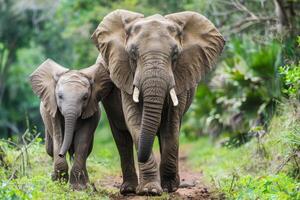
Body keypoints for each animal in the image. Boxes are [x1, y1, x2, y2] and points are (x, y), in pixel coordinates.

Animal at [29, 58, 111, 189]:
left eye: (85, 97)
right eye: (59, 96)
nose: (60, 154)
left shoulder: (90, 113)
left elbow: (82, 141)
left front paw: (78, 188)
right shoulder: (53, 110)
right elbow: (58, 136)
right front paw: (59, 184)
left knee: (86, 151)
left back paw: (88, 185)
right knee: (50, 149)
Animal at [92, 9, 224, 195]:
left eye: (175, 54)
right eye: (133, 53)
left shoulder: (181, 75)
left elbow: (170, 126)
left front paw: (168, 188)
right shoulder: (126, 76)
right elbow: (135, 121)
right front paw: (150, 190)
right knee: (122, 136)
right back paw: (129, 189)